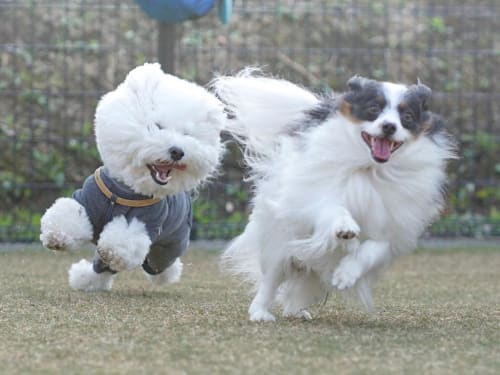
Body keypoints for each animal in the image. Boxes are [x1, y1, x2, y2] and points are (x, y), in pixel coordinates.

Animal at [213, 69, 456, 322]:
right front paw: (344, 228)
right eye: (373, 109)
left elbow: (372, 249)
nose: (389, 126)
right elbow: (332, 208)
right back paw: (260, 312)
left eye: (407, 117)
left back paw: (296, 311)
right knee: (271, 280)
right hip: (280, 245)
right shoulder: (314, 199)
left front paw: (346, 274)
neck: (370, 168)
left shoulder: (392, 228)